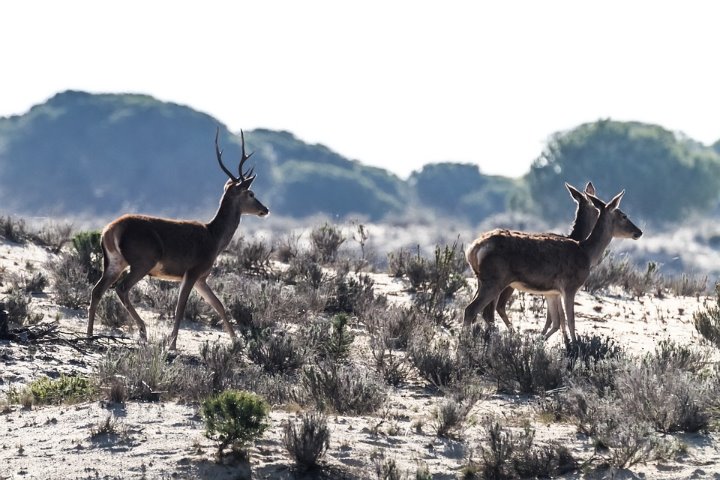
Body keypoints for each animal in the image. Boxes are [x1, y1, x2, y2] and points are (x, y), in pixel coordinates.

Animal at [87, 129, 268, 350]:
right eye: (251, 193)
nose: (265, 209)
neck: (214, 238)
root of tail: (110, 230)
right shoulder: (193, 270)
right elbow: (180, 308)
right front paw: (172, 344)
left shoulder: (201, 277)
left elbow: (219, 305)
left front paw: (236, 342)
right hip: (143, 260)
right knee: (121, 289)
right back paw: (143, 331)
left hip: (114, 262)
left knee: (97, 291)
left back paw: (89, 335)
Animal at [464, 189, 644, 344]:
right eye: (623, 215)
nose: (639, 232)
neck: (585, 252)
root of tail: (473, 248)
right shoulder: (570, 286)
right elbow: (570, 320)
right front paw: (576, 346)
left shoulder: (552, 291)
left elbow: (556, 321)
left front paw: (542, 342)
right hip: (495, 279)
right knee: (473, 309)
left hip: (482, 279)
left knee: (482, 310)